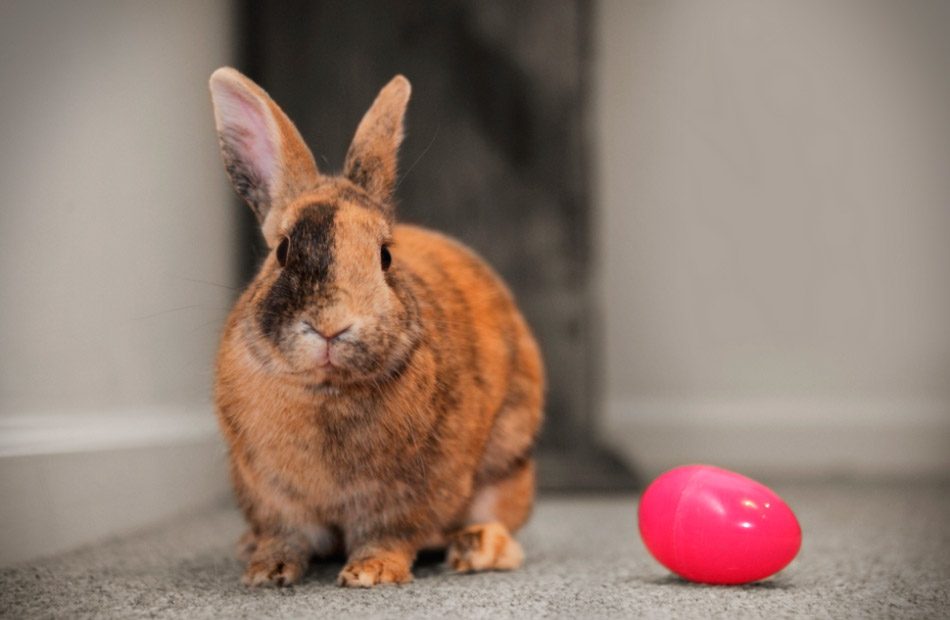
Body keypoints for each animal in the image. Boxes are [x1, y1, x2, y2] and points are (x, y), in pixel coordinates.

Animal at [212, 65, 548, 588]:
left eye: (385, 256)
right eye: (283, 251)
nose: (332, 327)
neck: (326, 390)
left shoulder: (409, 493)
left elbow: (390, 533)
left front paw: (372, 572)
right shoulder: (270, 494)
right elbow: (286, 535)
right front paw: (267, 571)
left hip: (507, 464)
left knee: (502, 519)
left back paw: (478, 548)